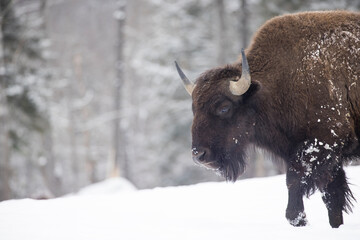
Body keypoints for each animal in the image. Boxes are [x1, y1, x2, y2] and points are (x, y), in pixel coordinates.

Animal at [174, 10, 358, 229]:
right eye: (194, 108)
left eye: (224, 107)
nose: (199, 154)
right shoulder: (326, 157)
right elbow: (333, 198)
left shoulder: (321, 145)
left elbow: (295, 183)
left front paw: (298, 219)